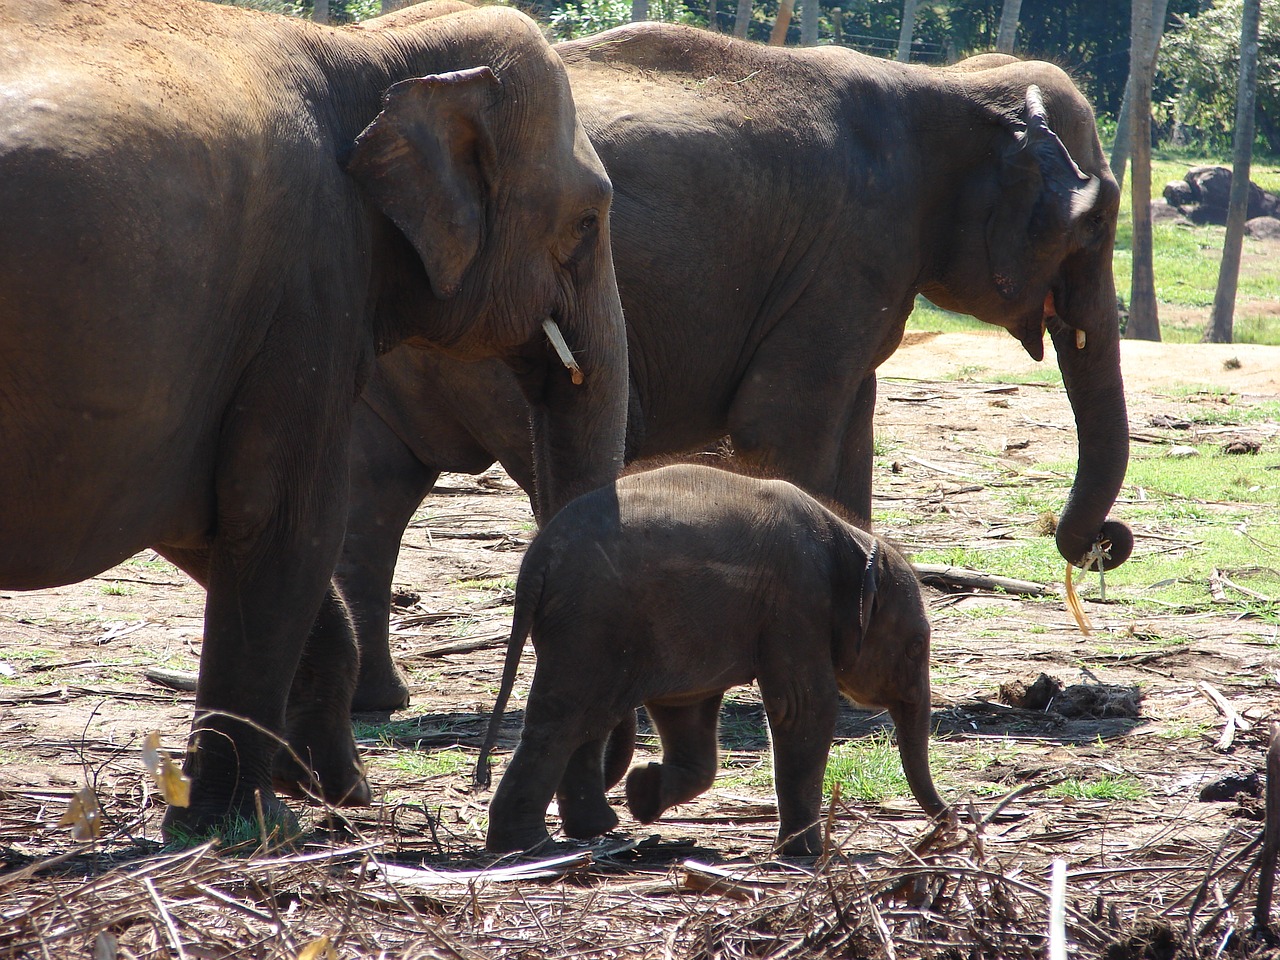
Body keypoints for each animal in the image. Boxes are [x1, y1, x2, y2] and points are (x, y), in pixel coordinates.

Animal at [0, 0, 628, 840]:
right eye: (589, 220)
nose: (606, 822)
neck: (369, 49)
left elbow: (203, 520)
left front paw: (326, 785)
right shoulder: (308, 287)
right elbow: (283, 521)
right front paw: (251, 821)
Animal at [344, 22, 1135, 714]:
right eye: (1096, 224)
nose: (1104, 543)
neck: (951, 84)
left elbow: (853, 433)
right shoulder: (851, 253)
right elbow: (784, 428)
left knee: (376, 490)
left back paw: (380, 700)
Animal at [474, 463, 945, 856]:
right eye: (916, 646)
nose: (952, 824)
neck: (851, 541)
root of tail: (537, 559)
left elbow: (687, 707)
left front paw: (643, 792)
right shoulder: (797, 604)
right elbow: (803, 708)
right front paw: (806, 853)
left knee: (588, 718)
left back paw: (594, 828)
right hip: (593, 620)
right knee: (564, 719)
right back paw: (527, 845)